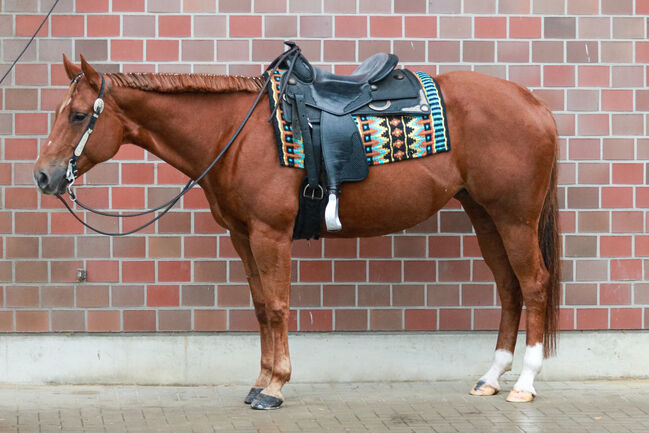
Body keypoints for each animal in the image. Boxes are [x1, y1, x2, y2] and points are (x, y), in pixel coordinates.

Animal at [33, 56, 556, 408]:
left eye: (77, 115)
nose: (42, 176)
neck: (237, 134)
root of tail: (534, 103)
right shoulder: (243, 236)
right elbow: (262, 308)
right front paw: (259, 381)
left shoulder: (271, 234)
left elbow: (280, 306)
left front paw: (276, 386)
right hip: (484, 214)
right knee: (509, 288)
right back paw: (491, 378)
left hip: (515, 217)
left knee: (534, 285)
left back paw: (525, 384)